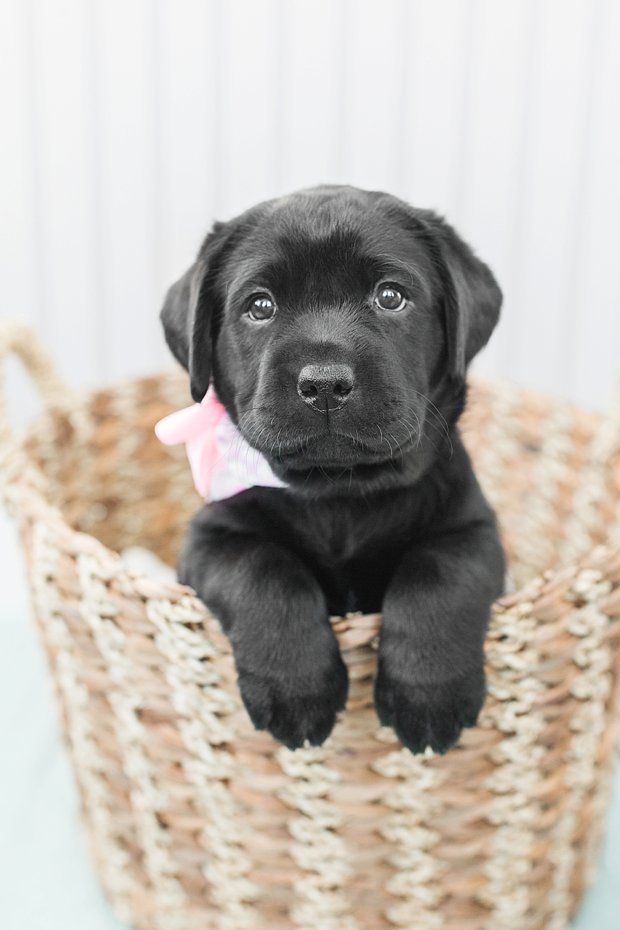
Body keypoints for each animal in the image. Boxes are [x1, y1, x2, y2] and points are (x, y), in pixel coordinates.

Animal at [162, 187, 506, 752]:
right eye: (260, 306)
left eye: (390, 297)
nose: (324, 383)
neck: (339, 493)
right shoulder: (211, 536)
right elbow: (265, 569)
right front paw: (296, 688)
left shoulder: (473, 528)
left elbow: (437, 575)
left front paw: (428, 695)